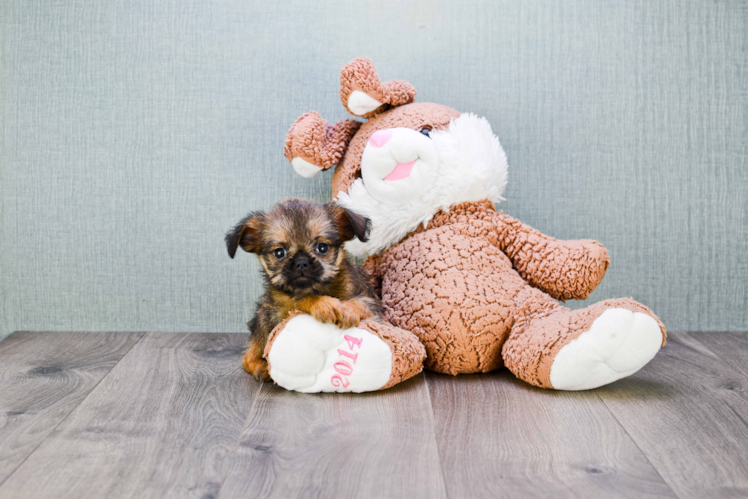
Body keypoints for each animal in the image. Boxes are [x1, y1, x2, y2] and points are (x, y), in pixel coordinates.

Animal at [225, 197, 380, 380]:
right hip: (263, 318)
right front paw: (322, 303)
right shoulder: (280, 313)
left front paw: (349, 309)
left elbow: (362, 303)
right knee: (248, 356)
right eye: (279, 253)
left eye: (322, 247)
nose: (301, 262)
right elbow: (299, 300)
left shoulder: (375, 306)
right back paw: (261, 367)